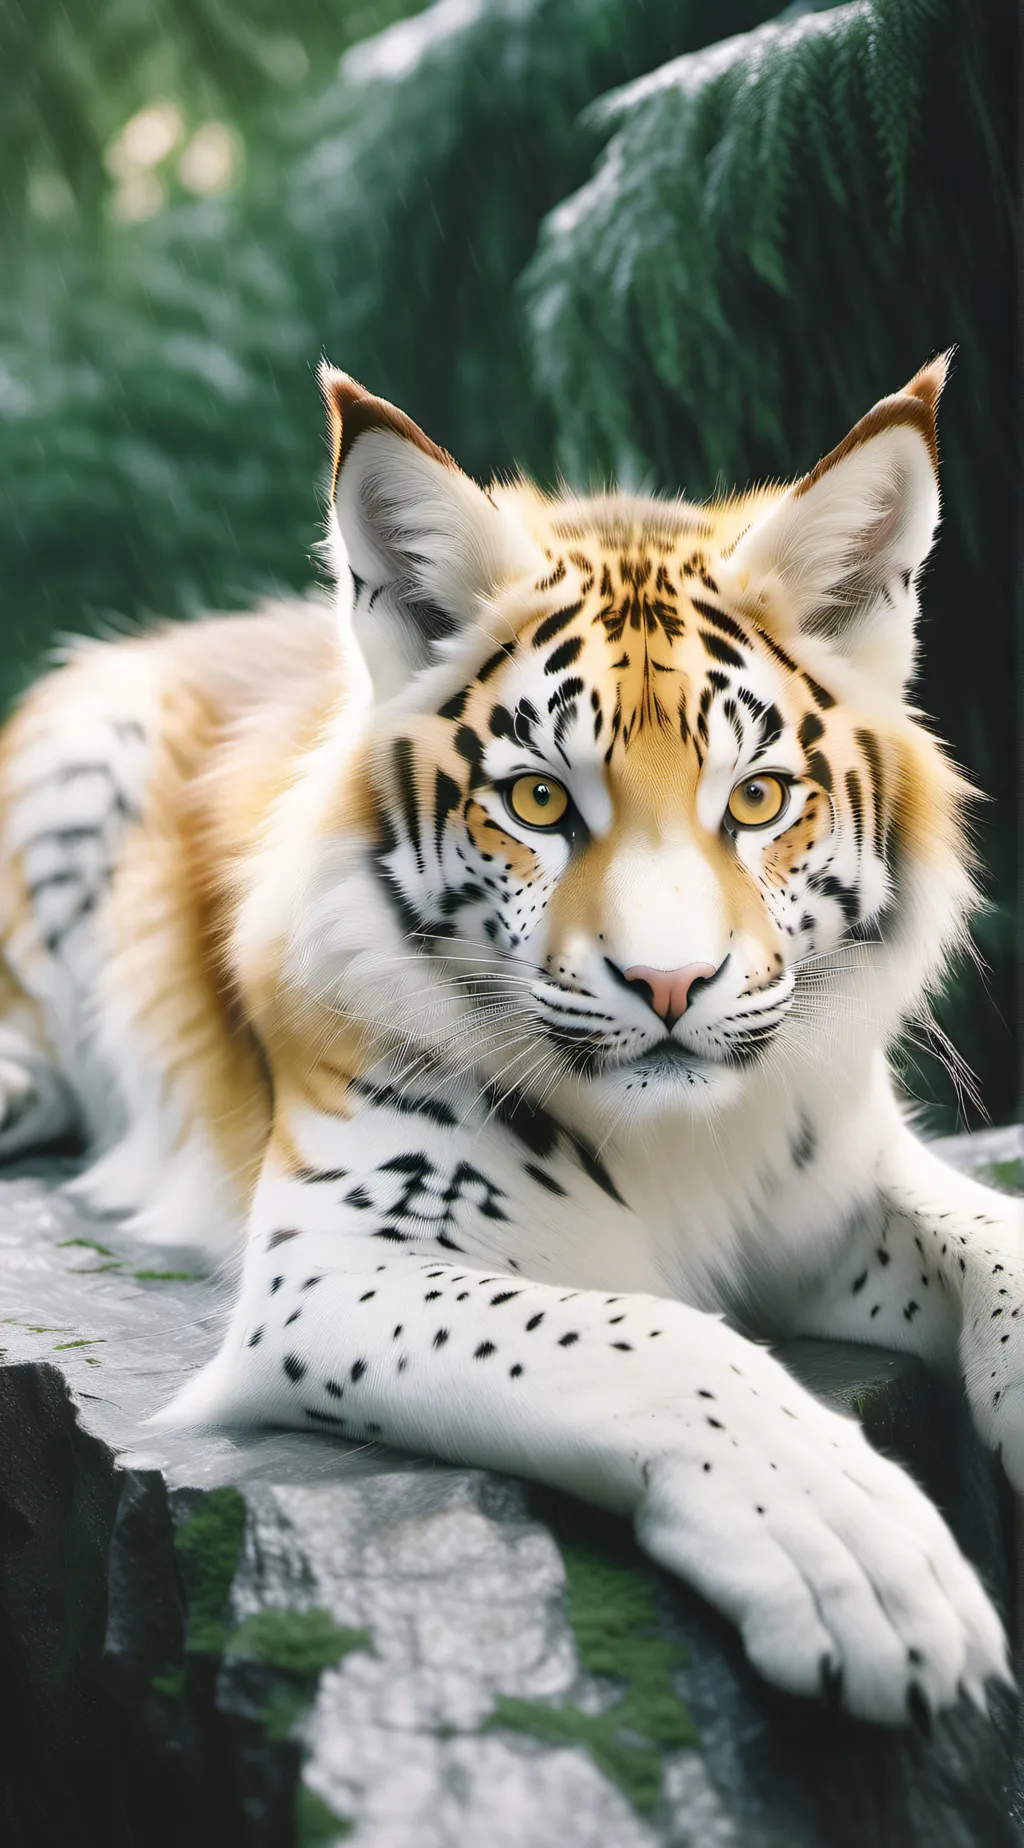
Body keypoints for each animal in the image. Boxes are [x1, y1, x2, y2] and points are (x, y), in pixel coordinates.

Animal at [0, 352, 1019, 1726]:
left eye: (756, 799)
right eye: (538, 800)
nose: (668, 981)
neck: (677, 1143)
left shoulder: (827, 1188)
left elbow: (990, 1230)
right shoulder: (331, 1265)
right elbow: (652, 1339)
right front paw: (854, 1555)